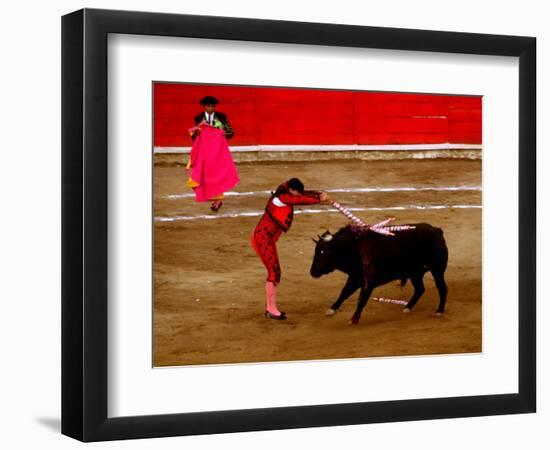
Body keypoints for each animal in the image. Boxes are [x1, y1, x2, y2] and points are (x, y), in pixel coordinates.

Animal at [310, 222, 448, 324]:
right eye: (316, 251)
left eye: (323, 252)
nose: (312, 272)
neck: (355, 248)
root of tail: (437, 231)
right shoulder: (355, 277)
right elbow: (344, 293)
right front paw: (331, 310)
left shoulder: (369, 282)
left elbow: (362, 300)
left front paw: (354, 318)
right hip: (416, 273)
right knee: (420, 289)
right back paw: (407, 308)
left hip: (437, 269)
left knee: (442, 288)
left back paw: (439, 311)